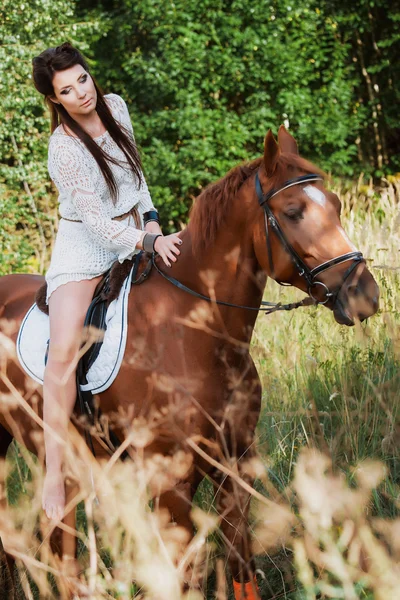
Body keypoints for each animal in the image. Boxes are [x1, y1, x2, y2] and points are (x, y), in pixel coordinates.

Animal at [0, 127, 378, 600]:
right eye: (293, 212)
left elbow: (240, 567)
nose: (365, 294)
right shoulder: (172, 484)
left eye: (337, 205)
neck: (194, 331)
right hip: (57, 465)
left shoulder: (234, 464)